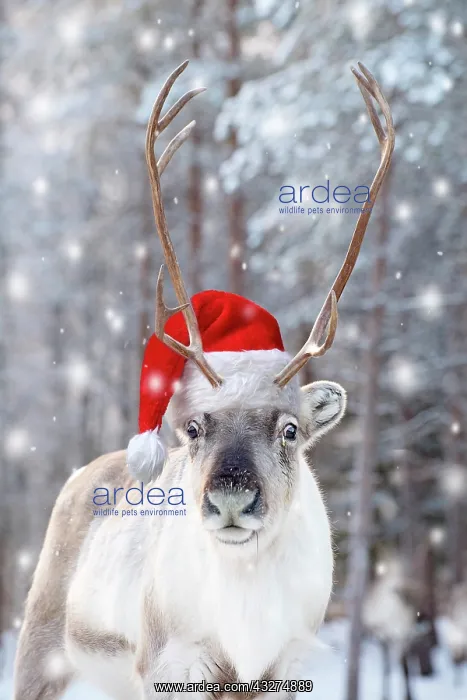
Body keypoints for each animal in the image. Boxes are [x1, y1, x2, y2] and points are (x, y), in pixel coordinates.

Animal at [14, 60, 394, 700]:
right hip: (43, 647)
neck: (243, 625)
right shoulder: (171, 663)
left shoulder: (286, 665)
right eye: (194, 428)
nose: (231, 497)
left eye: (290, 430)